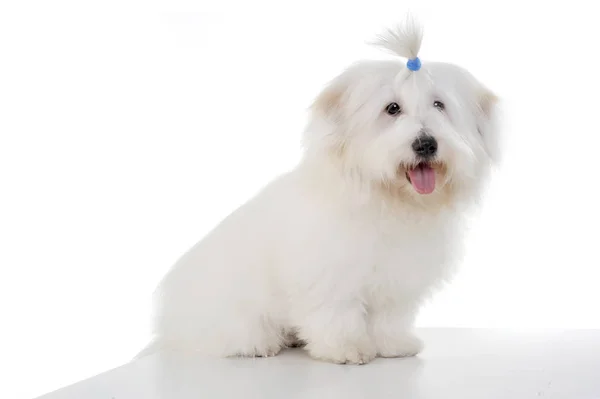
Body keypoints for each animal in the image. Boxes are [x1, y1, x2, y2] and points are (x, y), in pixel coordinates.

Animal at [138, 20, 500, 368]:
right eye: (392, 108)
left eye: (439, 105)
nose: (425, 144)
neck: (385, 199)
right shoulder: (331, 273)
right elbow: (337, 313)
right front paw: (347, 348)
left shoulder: (395, 278)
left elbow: (388, 317)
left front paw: (393, 344)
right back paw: (259, 345)